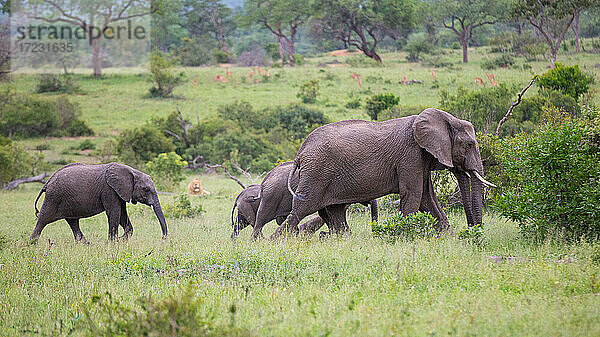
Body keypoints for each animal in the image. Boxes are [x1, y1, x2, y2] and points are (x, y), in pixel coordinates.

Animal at [29, 162, 168, 243]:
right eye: (146, 189)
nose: (163, 239)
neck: (132, 171)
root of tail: (47, 182)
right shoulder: (109, 190)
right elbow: (114, 213)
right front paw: (113, 243)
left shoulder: (120, 191)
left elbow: (122, 214)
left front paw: (120, 240)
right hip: (54, 197)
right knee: (43, 219)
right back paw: (32, 243)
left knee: (73, 221)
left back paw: (85, 244)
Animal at [274, 108, 496, 239]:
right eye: (470, 144)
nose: (472, 230)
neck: (445, 118)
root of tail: (301, 152)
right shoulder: (410, 155)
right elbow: (414, 194)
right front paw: (406, 233)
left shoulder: (420, 158)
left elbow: (427, 197)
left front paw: (447, 236)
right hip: (317, 172)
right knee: (303, 206)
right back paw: (275, 241)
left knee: (334, 209)